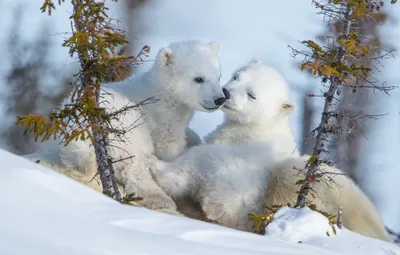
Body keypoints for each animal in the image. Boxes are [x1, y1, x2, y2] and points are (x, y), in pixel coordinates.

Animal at [26, 40, 227, 211]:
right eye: (198, 79)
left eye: (218, 77)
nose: (220, 99)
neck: (161, 95)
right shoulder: (161, 119)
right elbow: (168, 147)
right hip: (124, 128)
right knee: (135, 166)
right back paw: (161, 200)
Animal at [152, 60, 392, 241]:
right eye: (237, 76)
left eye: (251, 94)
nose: (226, 93)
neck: (257, 129)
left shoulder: (246, 180)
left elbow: (221, 182)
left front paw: (162, 169)